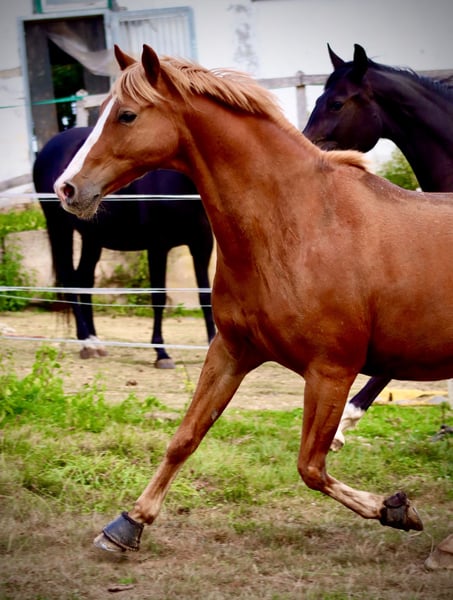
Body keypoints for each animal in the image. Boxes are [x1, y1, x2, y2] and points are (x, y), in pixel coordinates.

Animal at [34, 126, 215, 368]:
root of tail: (46, 150)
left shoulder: (202, 245)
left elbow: (205, 296)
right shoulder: (158, 247)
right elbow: (158, 297)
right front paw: (161, 353)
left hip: (92, 237)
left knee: (84, 280)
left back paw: (95, 341)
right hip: (59, 227)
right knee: (70, 280)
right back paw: (86, 343)